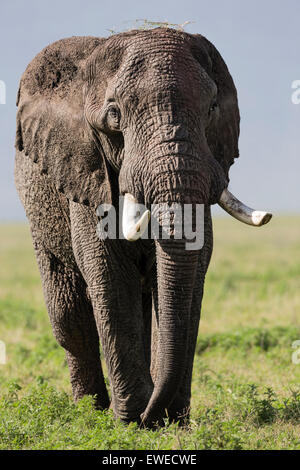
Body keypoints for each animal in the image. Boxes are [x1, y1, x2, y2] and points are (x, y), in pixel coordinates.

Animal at [14, 27, 272, 428]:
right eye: (114, 115)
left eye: (212, 110)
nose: (155, 414)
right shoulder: (88, 170)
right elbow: (107, 269)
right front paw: (133, 418)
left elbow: (195, 268)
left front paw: (169, 419)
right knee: (69, 315)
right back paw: (89, 411)